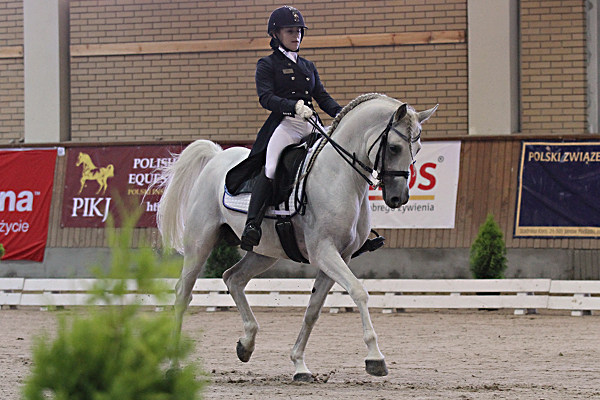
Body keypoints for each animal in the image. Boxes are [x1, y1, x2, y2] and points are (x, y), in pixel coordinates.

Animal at [156, 94, 436, 382]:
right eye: (393, 148)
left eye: (418, 148)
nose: (398, 198)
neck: (339, 176)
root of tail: (216, 157)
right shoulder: (323, 252)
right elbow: (359, 292)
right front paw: (375, 358)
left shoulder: (340, 256)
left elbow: (313, 310)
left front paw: (299, 364)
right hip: (199, 244)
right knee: (183, 294)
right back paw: (174, 364)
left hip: (263, 252)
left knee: (232, 278)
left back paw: (246, 345)